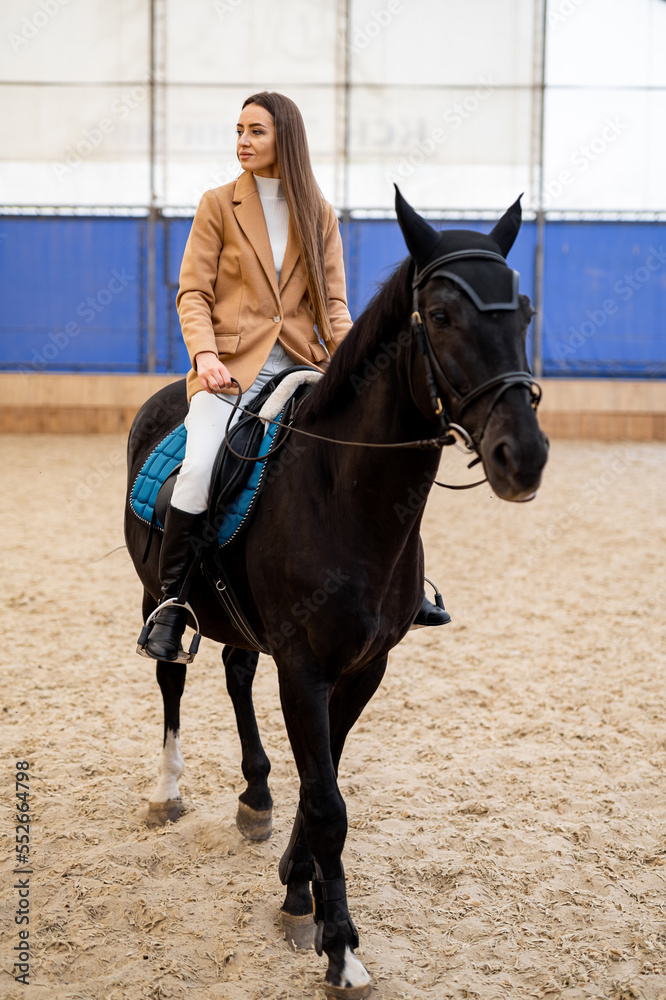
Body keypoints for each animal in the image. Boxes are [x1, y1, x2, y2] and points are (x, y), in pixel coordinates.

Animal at [124, 191, 548, 996]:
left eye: (527, 311)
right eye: (440, 316)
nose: (525, 456)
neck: (345, 498)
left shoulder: (363, 668)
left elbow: (323, 784)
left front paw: (298, 889)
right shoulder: (306, 670)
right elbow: (326, 803)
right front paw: (338, 943)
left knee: (234, 672)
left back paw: (254, 798)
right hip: (155, 595)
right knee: (170, 673)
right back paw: (167, 791)